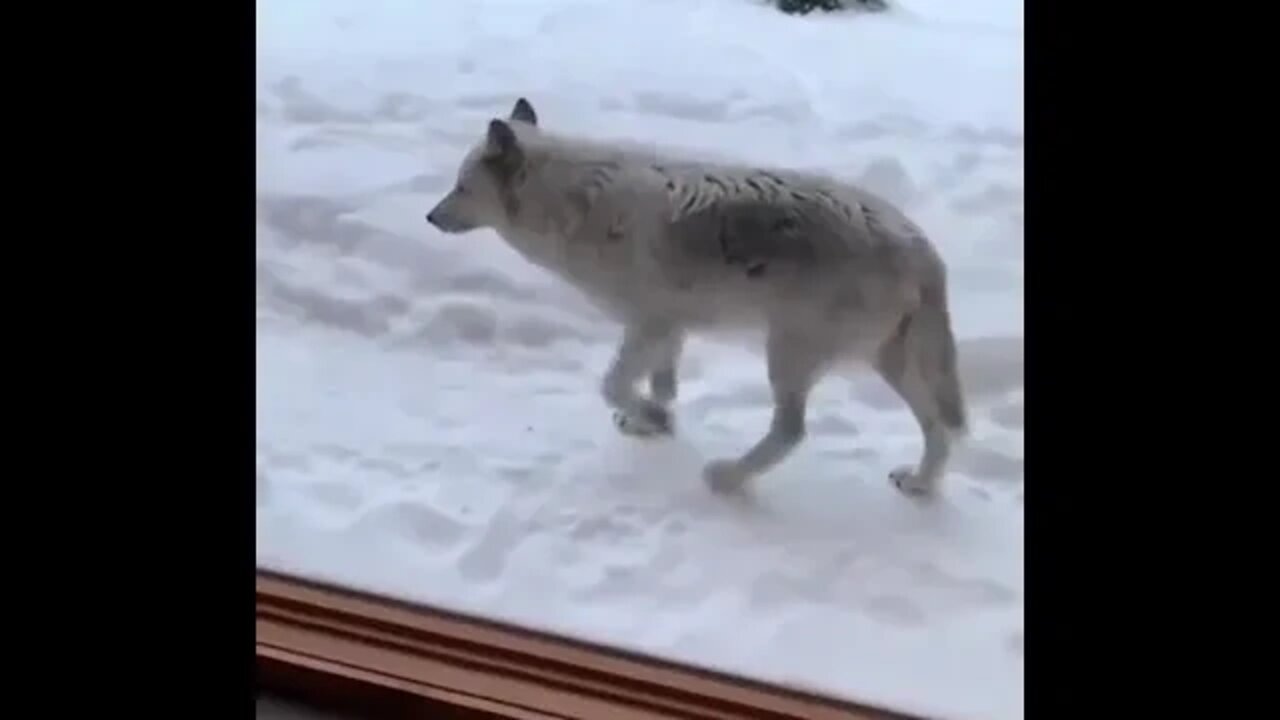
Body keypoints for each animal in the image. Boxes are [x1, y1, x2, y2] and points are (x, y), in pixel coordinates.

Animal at [424, 98, 962, 497]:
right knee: (940, 427)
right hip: (887, 363)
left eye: (461, 187)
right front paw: (653, 421)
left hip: (788, 354)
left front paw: (648, 415)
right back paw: (920, 484)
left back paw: (728, 478)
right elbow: (663, 385)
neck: (574, 206)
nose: (429, 217)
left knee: (792, 431)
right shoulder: (669, 327)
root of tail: (921, 245)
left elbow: (612, 385)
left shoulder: (648, 324)